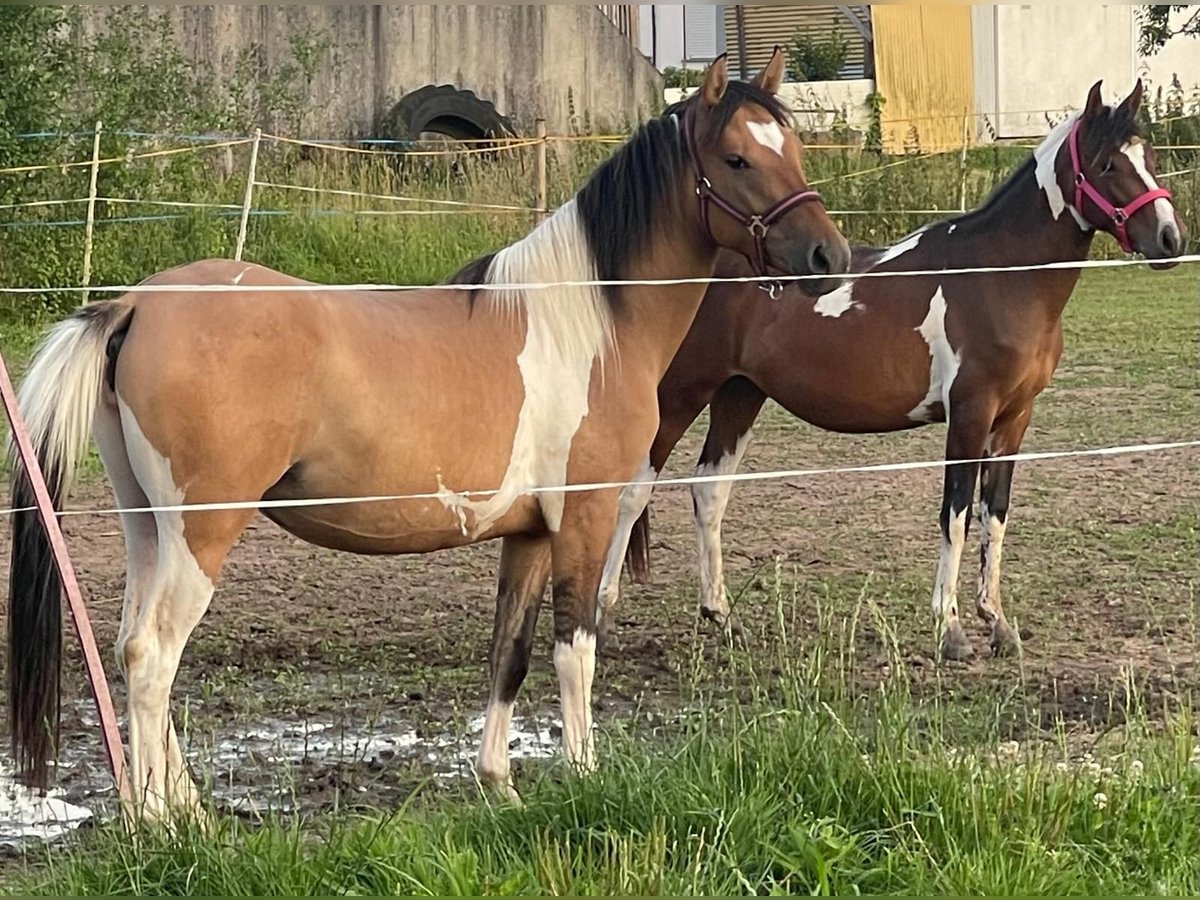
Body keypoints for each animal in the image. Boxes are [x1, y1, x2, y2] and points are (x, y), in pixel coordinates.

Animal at [9, 51, 854, 825]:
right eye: (737, 158)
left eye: (793, 148)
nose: (830, 257)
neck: (588, 319)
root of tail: (136, 305)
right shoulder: (582, 518)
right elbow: (574, 647)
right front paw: (583, 774)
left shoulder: (529, 534)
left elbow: (510, 653)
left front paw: (499, 783)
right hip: (201, 530)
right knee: (155, 654)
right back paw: (162, 822)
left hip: (147, 526)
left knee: (130, 645)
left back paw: (175, 802)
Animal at [614, 79, 1185, 662]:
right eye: (1107, 164)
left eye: (1151, 158)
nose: (1170, 239)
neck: (1000, 276)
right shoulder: (970, 415)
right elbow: (955, 514)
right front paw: (951, 629)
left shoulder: (1015, 419)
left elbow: (994, 516)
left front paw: (998, 623)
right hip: (683, 395)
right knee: (632, 492)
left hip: (739, 394)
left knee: (709, 492)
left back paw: (721, 616)